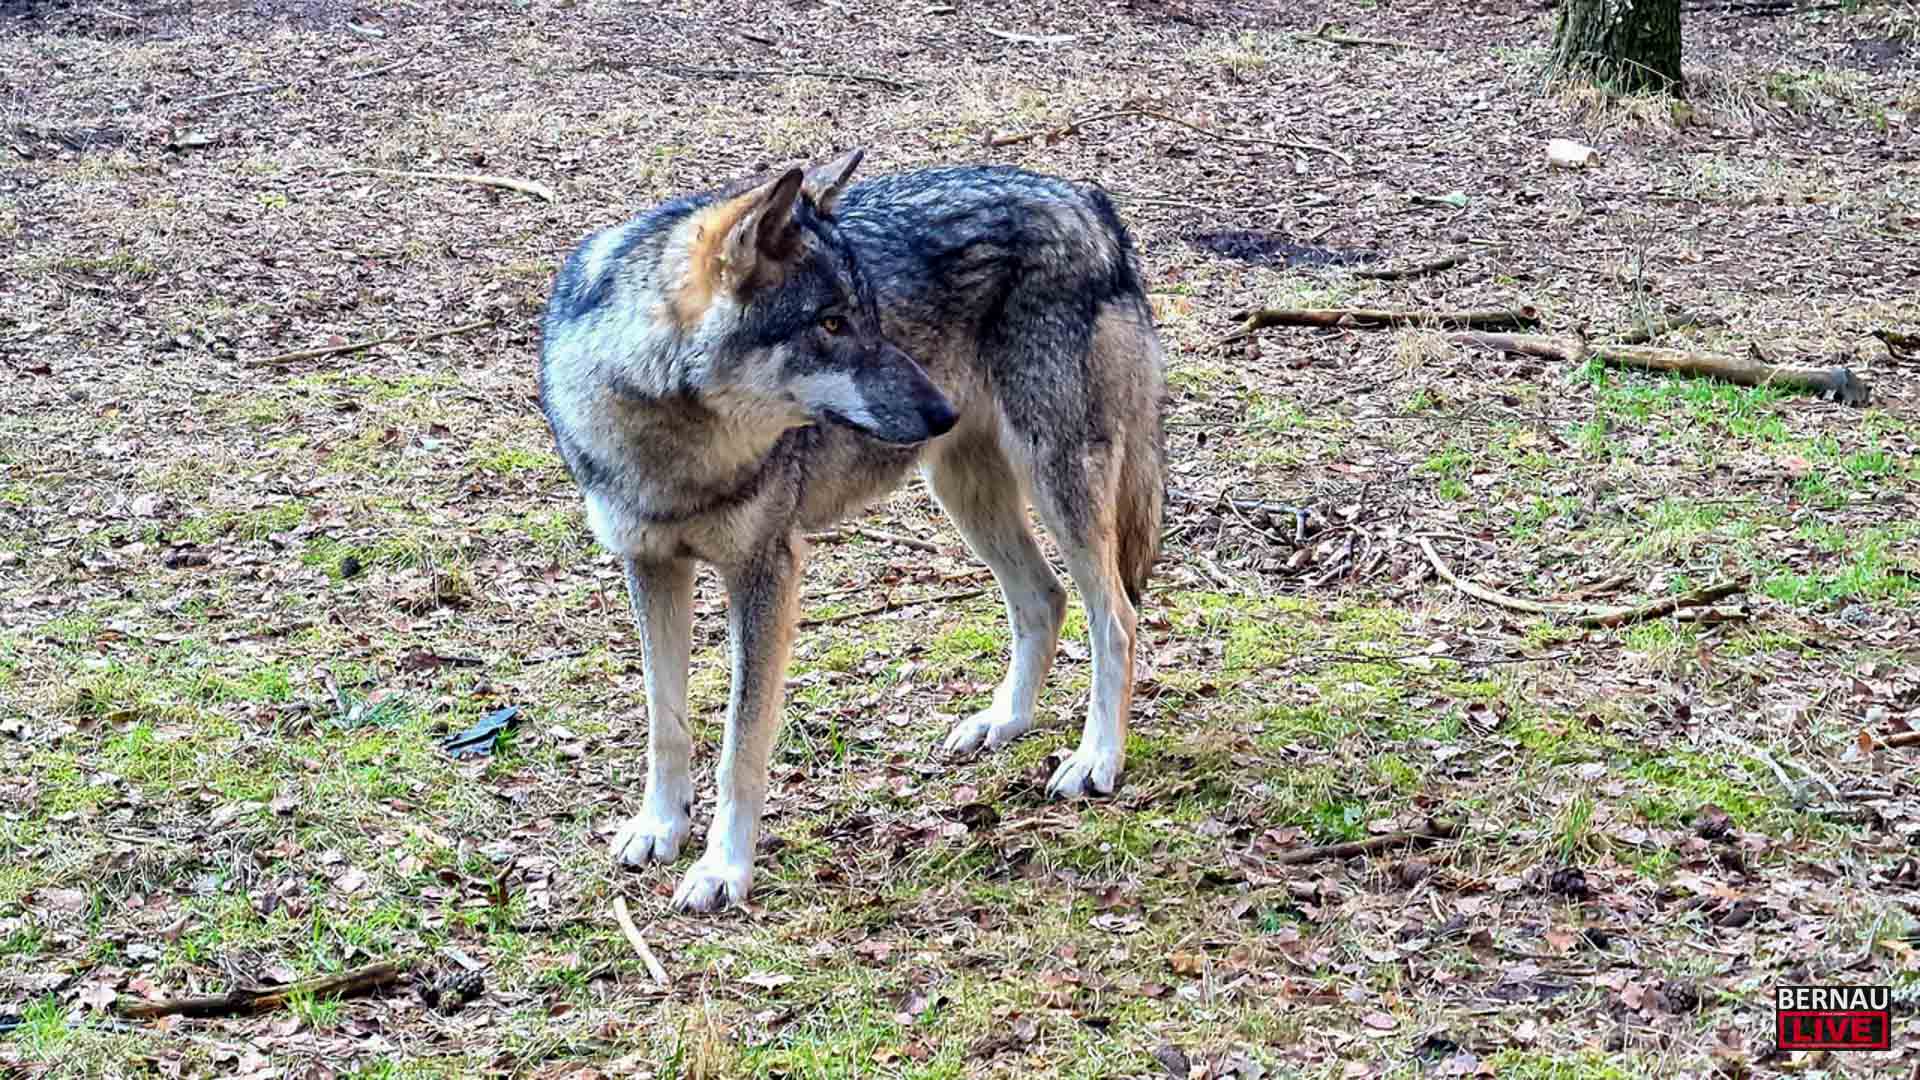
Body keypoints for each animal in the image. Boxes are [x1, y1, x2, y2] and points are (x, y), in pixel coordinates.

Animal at [537, 149, 1167, 912]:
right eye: (833, 324)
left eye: (867, 316)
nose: (942, 410)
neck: (676, 445)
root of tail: (1088, 201)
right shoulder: (650, 564)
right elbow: (666, 722)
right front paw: (660, 827)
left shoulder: (767, 572)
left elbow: (740, 746)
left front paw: (723, 868)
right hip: (964, 491)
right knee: (1044, 599)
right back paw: (1004, 721)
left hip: (1057, 484)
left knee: (1117, 618)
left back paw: (1097, 758)